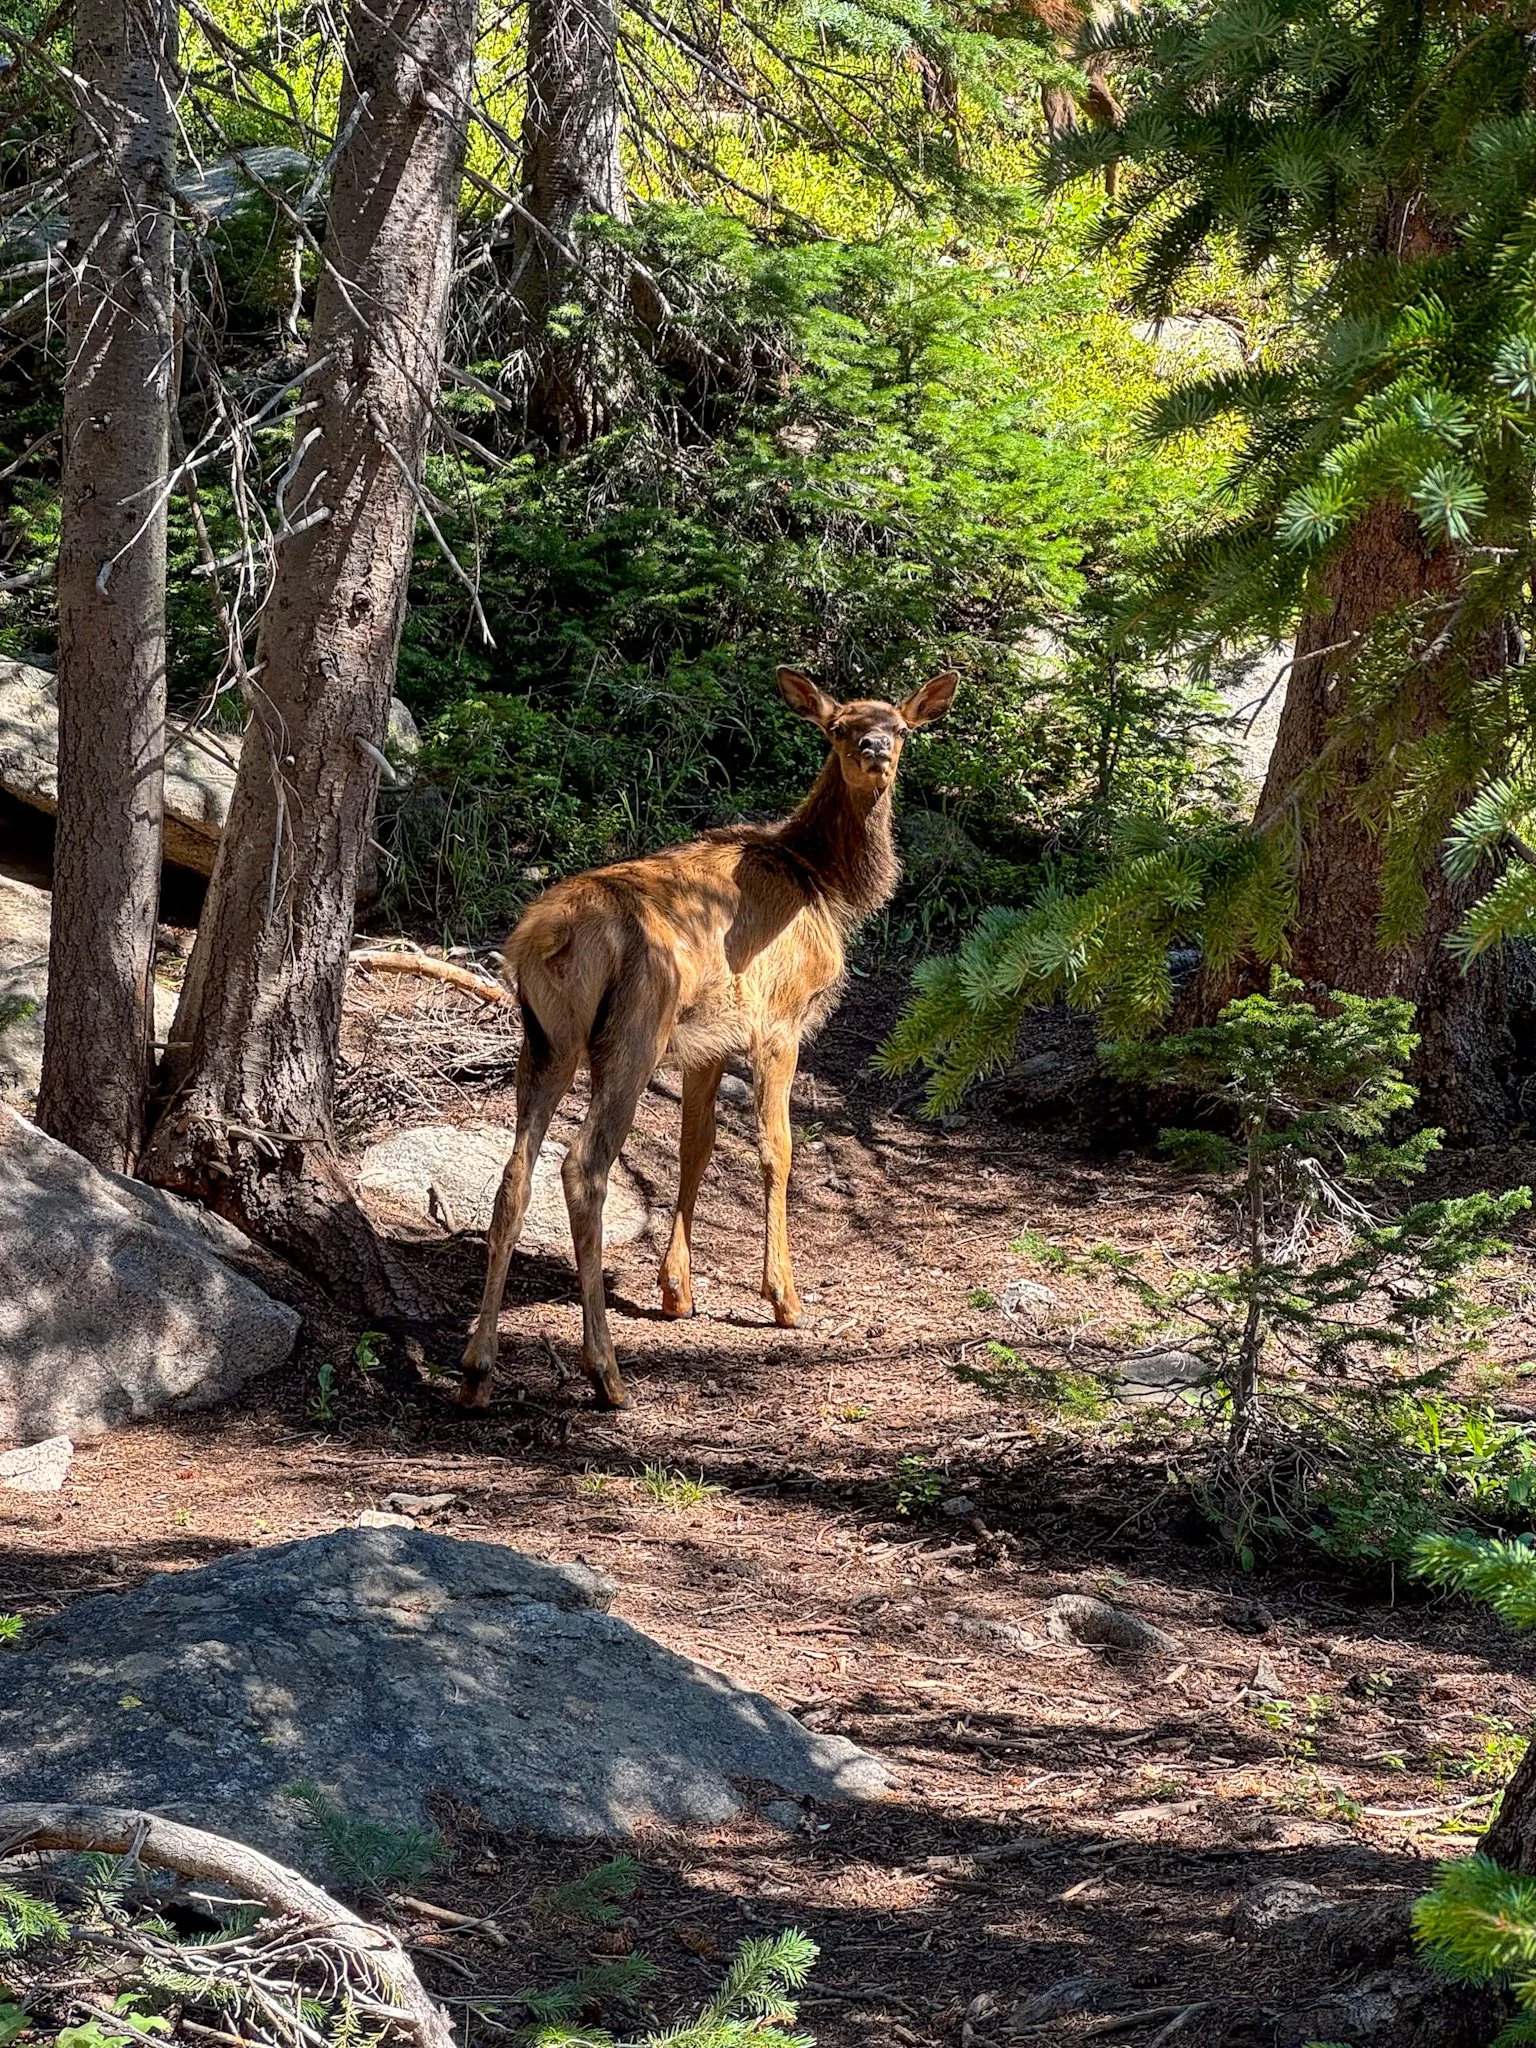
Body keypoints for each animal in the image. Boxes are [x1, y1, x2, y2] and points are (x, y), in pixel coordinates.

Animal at [459, 663, 959, 1410]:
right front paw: (784, 1297)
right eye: (839, 727)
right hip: (635, 1031)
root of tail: (549, 938)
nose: (875, 750)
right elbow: (776, 1151)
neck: (825, 884)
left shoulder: (707, 1040)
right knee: (583, 1166)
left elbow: (696, 1147)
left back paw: (477, 1367)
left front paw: (676, 1290)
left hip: (544, 1037)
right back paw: (606, 1372)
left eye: (899, 726)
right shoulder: (778, 1021)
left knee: (517, 1170)